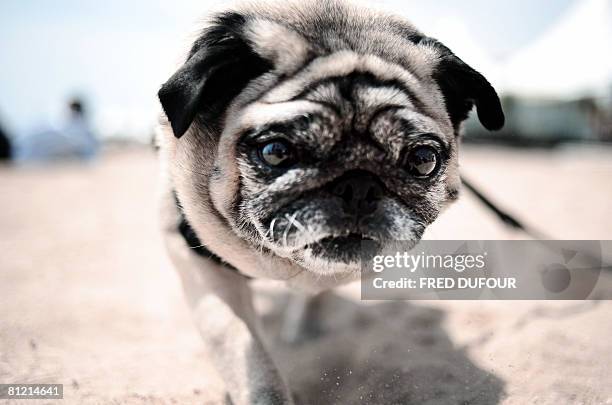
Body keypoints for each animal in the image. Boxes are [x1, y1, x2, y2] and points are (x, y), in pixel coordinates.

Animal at [157, 1, 502, 402]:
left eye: (422, 160)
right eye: (276, 152)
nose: (358, 186)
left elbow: (318, 289)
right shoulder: (196, 258)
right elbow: (243, 349)